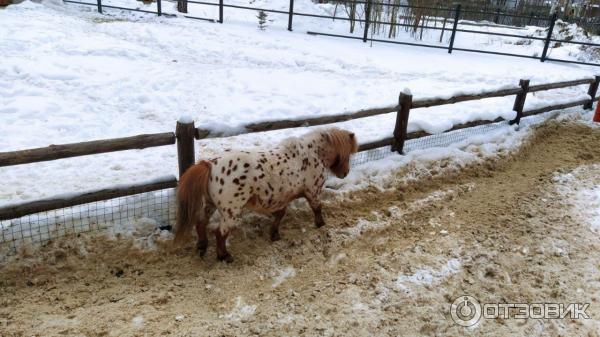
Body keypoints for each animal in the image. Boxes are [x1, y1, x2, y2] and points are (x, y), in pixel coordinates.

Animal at [175, 127, 360, 262]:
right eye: (346, 154)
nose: (345, 173)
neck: (312, 154)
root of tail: (210, 165)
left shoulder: (282, 198)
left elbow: (280, 215)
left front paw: (274, 234)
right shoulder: (313, 192)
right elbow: (317, 209)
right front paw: (321, 225)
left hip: (210, 205)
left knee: (201, 223)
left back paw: (202, 246)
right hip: (230, 212)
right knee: (220, 233)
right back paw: (224, 256)